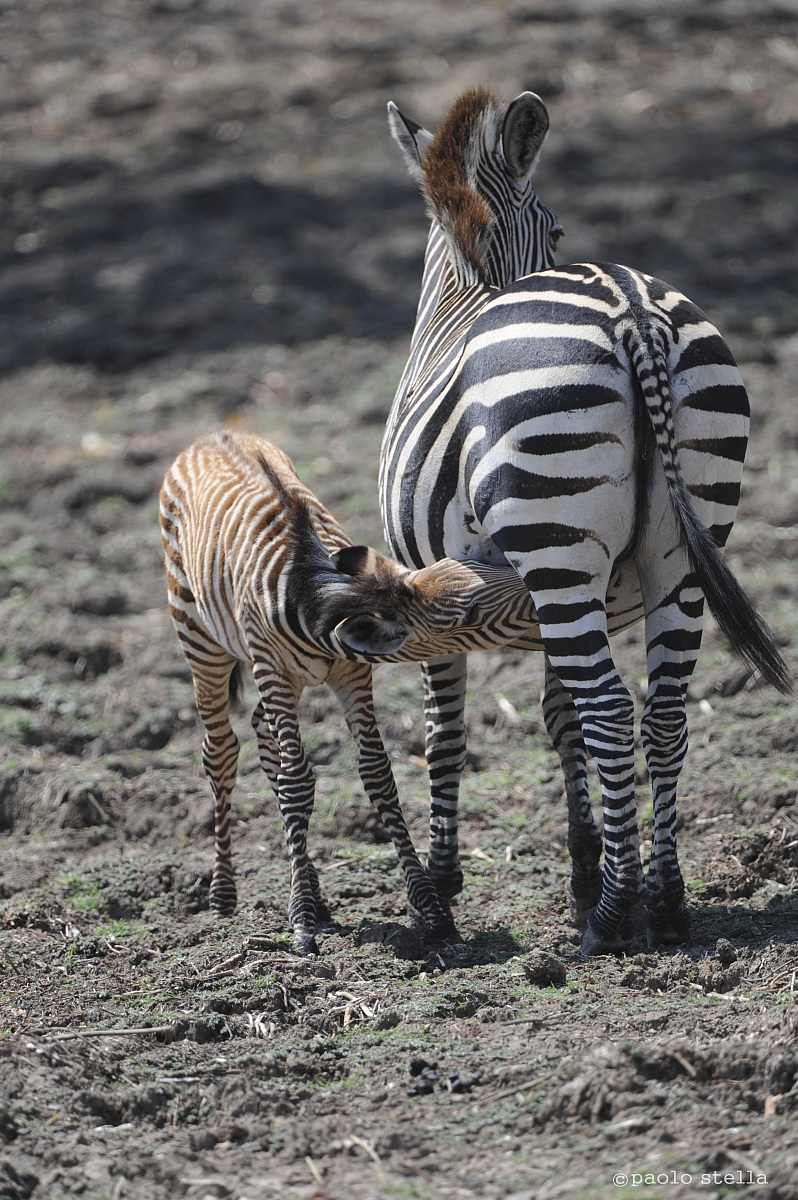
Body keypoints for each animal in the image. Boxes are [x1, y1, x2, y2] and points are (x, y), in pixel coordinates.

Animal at [159, 429, 535, 954]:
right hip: (199, 638)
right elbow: (298, 783)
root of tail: (213, 435)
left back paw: (315, 894)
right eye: (471, 616)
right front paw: (300, 922)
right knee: (221, 752)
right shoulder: (274, 670)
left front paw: (435, 917)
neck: (310, 594)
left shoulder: (352, 676)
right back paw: (224, 895)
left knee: (264, 742)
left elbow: (377, 775)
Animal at [380, 86, 791, 955]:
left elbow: (445, 731)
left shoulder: (430, 588)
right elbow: (557, 716)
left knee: (612, 708)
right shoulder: (555, 599)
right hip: (675, 550)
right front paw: (583, 863)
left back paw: (610, 919)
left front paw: (443, 891)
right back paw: (663, 904)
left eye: (559, 231)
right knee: (661, 712)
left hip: (559, 545)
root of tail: (631, 310)